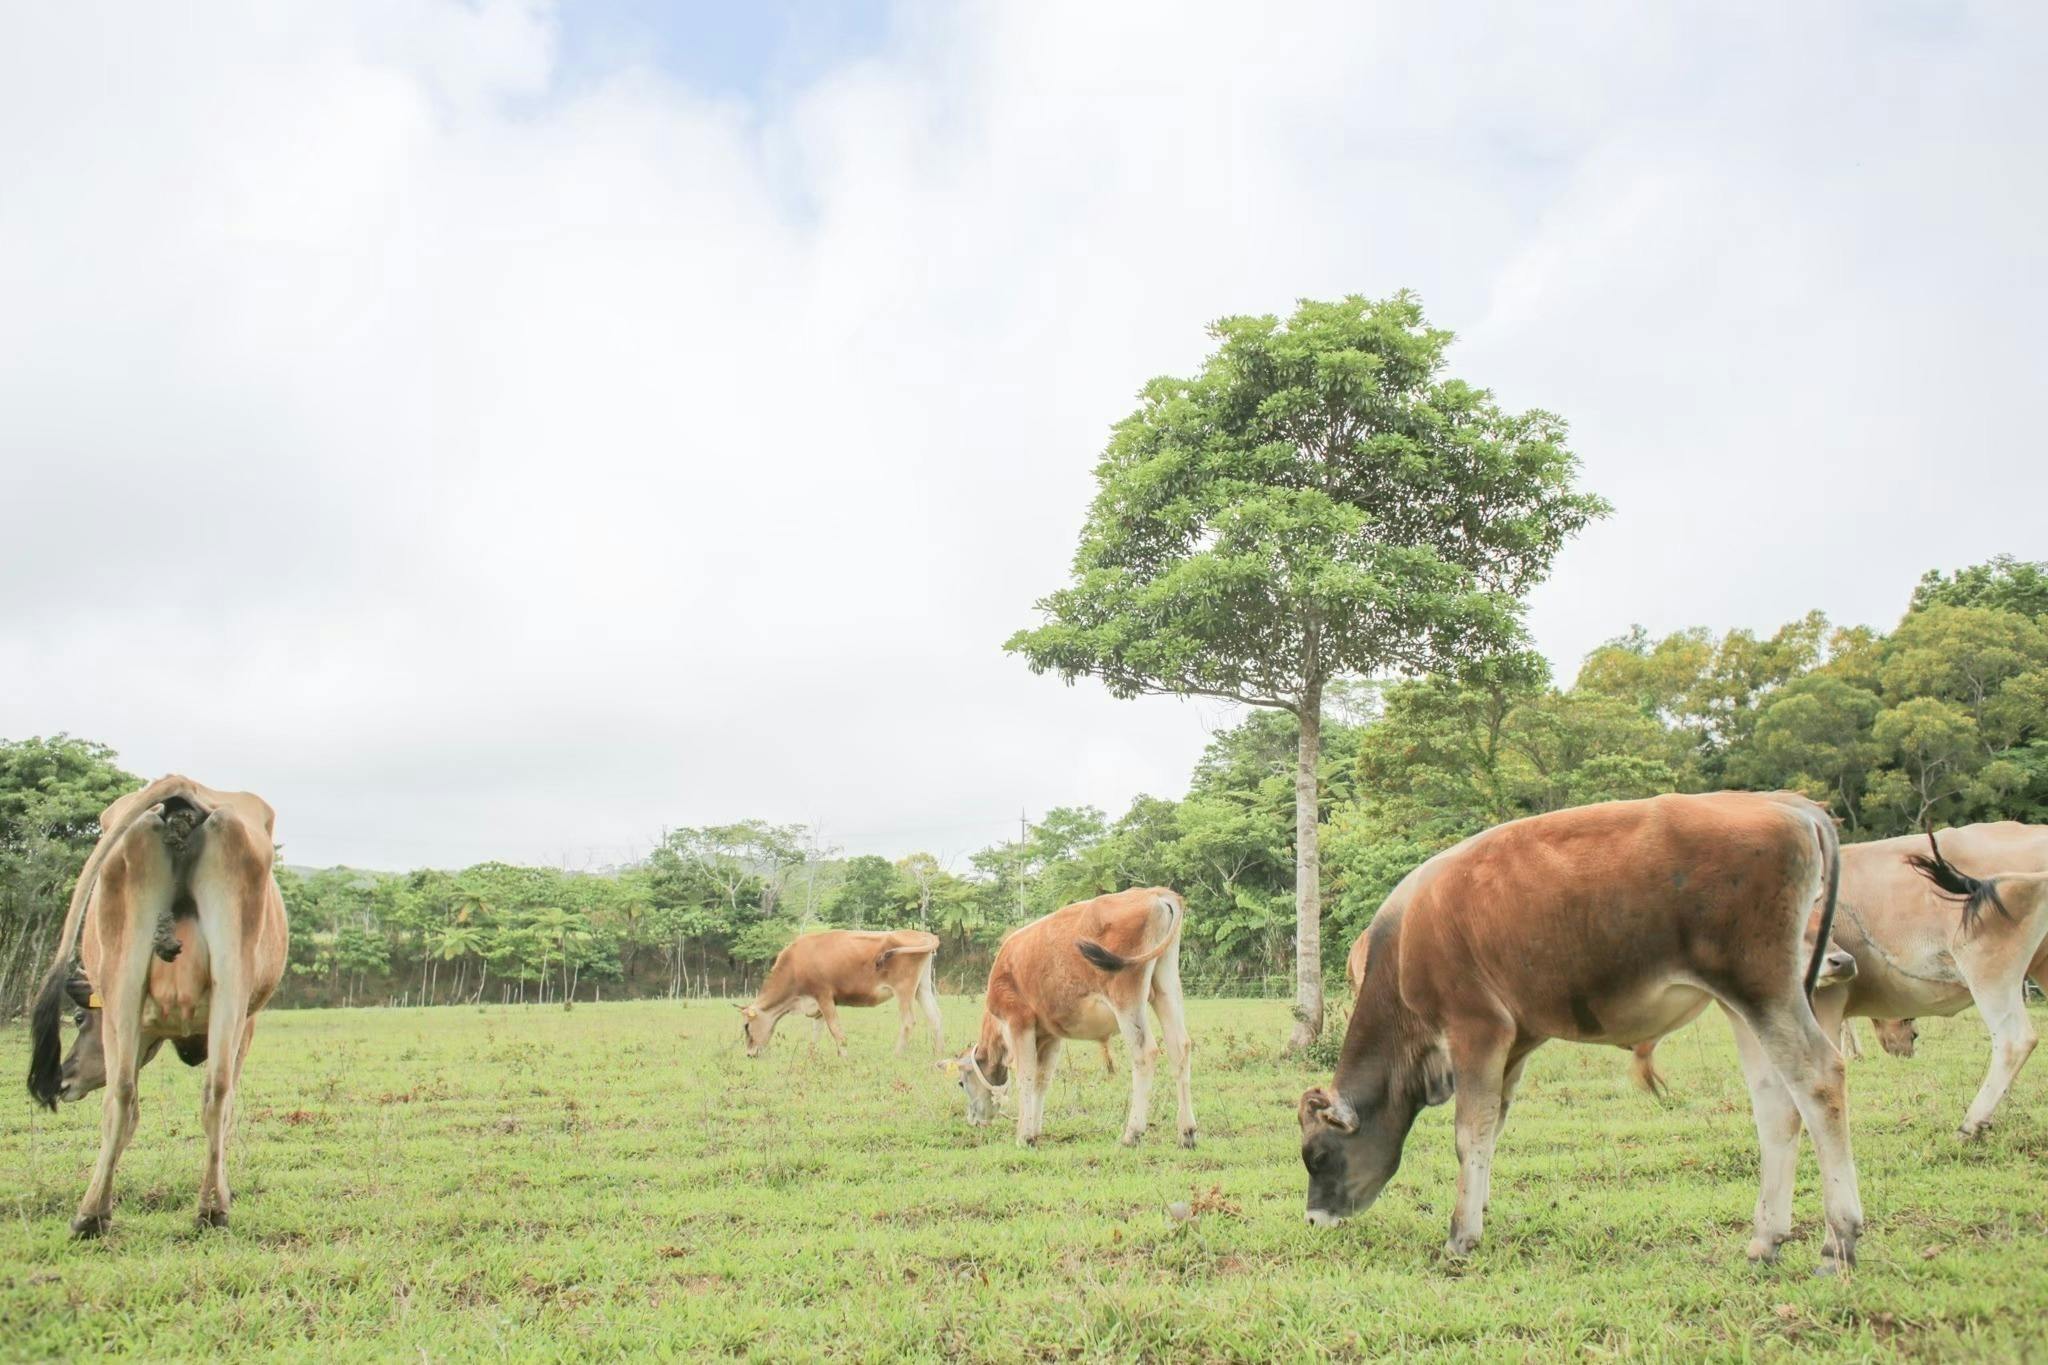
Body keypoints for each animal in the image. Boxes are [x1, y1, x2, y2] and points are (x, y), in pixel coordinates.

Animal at [24, 777, 292, 1236]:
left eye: (77, 1018)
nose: (63, 1080)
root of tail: (186, 792)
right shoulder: (246, 1021)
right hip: (228, 986)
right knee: (213, 1092)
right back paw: (206, 1208)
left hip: (130, 983)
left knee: (130, 1095)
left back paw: (96, 1213)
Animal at [737, 925, 942, 1064]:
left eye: (746, 1026)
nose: (748, 1054)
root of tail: (921, 933)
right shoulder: (816, 1004)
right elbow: (816, 1031)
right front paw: (811, 1056)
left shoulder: (824, 995)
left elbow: (835, 1030)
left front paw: (844, 1058)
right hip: (922, 988)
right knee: (935, 1018)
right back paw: (938, 1053)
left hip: (904, 989)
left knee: (908, 1021)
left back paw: (896, 1055)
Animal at [937, 892, 1196, 1146]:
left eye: (961, 1083)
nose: (973, 1120)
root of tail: (1156, 893)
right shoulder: (1051, 1034)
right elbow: (1042, 1079)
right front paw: (1034, 1131)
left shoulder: (1018, 1021)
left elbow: (1026, 1076)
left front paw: (1023, 1135)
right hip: (1166, 988)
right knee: (1179, 1048)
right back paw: (1187, 1133)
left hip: (1126, 998)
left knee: (1145, 1053)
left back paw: (1132, 1134)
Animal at [1302, 794, 1867, 1277]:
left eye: (1318, 1156)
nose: (1313, 1218)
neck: (1403, 945)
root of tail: (1785, 803)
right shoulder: (1515, 1041)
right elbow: (1493, 1127)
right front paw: (1480, 1207)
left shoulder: (1475, 1029)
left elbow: (1469, 1134)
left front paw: (1461, 1236)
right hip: (1743, 1002)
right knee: (1775, 1103)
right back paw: (1765, 1240)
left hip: (1762, 988)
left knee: (1819, 1077)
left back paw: (1837, 1243)